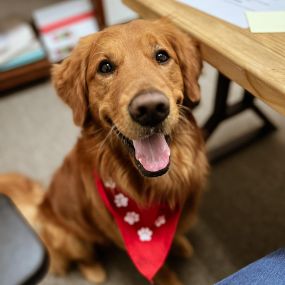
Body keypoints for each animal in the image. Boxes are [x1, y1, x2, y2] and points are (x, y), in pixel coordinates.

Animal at [1, 18, 207, 282]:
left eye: (162, 56)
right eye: (105, 67)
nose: (151, 109)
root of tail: (41, 205)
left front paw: (179, 242)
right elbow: (163, 272)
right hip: (70, 238)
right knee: (81, 255)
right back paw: (94, 271)